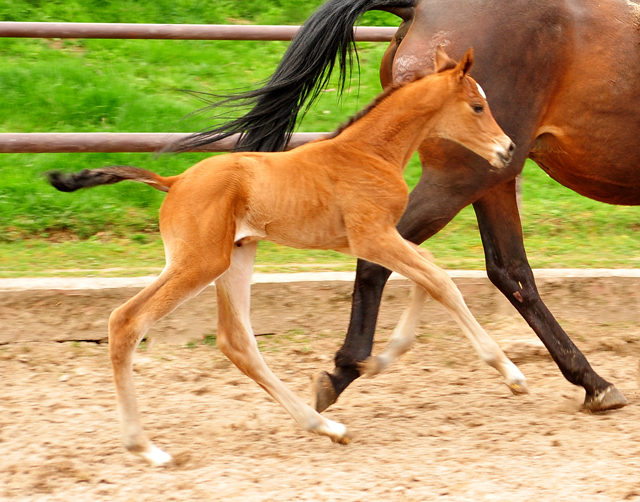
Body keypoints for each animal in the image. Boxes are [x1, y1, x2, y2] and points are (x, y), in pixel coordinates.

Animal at [48, 48, 520, 466]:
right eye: (478, 106)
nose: (508, 149)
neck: (368, 152)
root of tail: (175, 180)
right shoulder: (373, 237)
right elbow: (440, 279)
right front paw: (511, 373)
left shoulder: (374, 239)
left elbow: (430, 272)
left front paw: (379, 359)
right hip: (199, 264)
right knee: (127, 321)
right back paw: (146, 448)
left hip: (234, 259)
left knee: (236, 341)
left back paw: (325, 427)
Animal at [171, 0, 640, 412]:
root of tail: (420, 7)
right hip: (464, 176)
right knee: (392, 262)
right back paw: (347, 369)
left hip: (493, 174)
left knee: (508, 272)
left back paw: (591, 382)